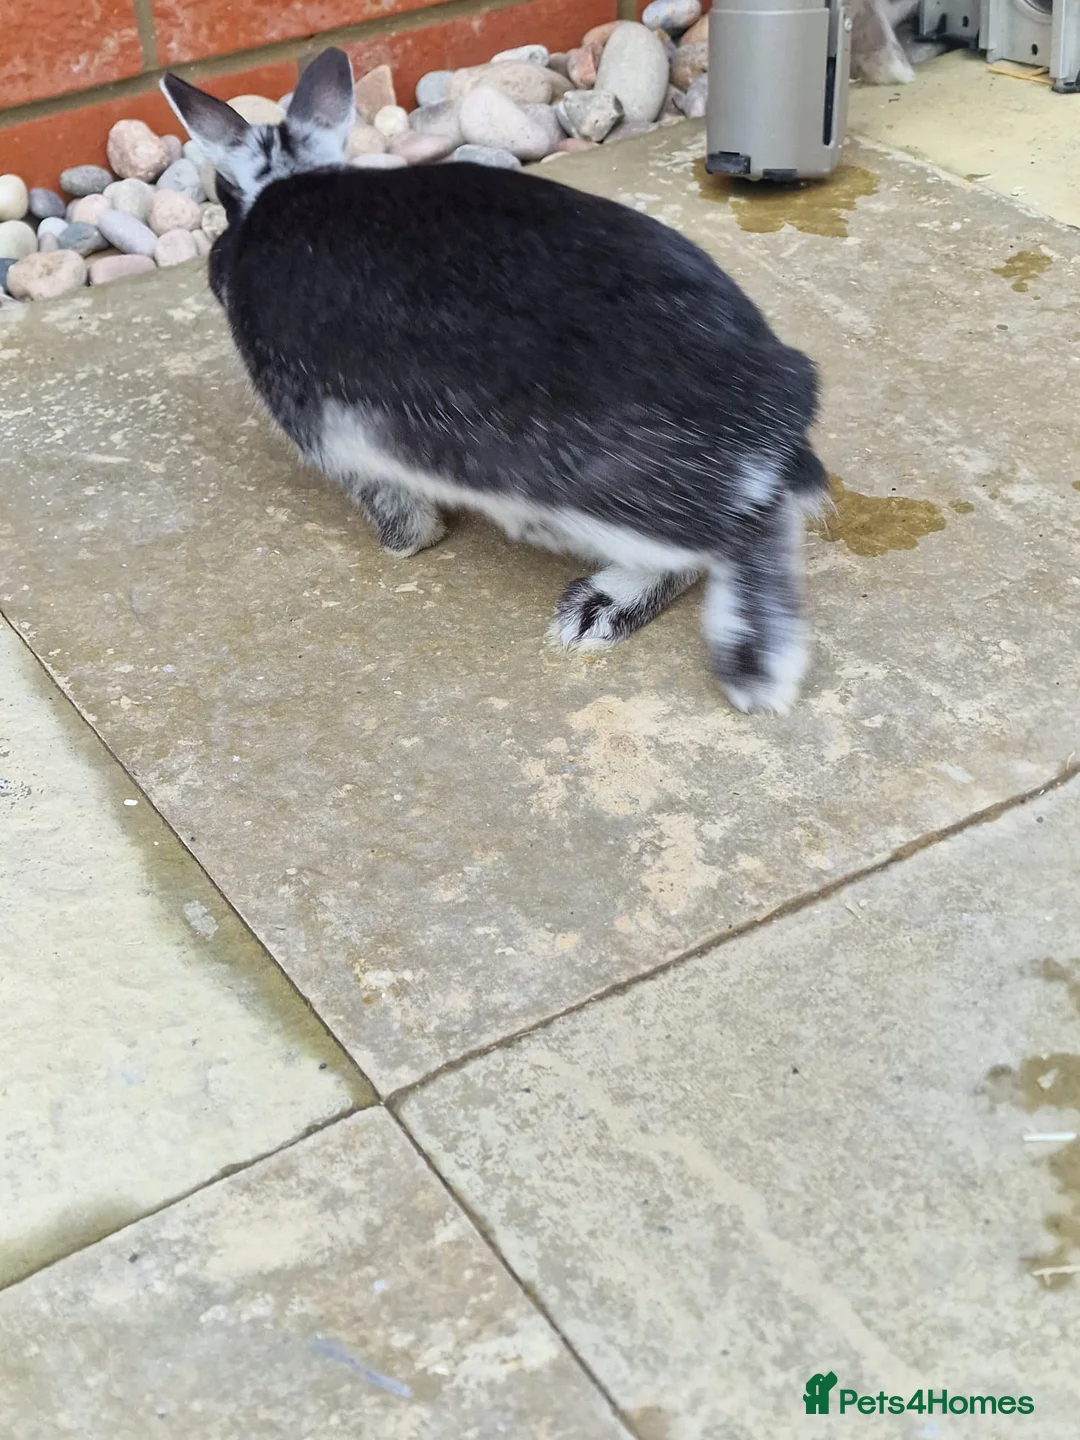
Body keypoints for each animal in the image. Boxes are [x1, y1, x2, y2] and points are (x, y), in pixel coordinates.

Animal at [161, 48, 829, 714]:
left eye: (225, 201)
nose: (214, 265)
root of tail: (770, 420)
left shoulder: (342, 443)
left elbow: (396, 508)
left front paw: (407, 546)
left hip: (575, 499)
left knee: (722, 543)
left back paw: (637, 619)